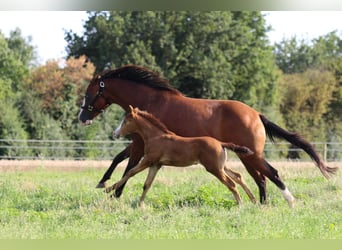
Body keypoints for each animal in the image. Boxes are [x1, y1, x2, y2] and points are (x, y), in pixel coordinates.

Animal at [105, 106, 255, 206]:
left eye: (126, 121)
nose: (115, 133)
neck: (155, 136)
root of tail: (220, 143)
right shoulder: (156, 164)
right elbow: (147, 184)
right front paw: (140, 205)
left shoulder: (148, 160)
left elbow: (130, 172)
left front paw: (108, 188)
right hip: (222, 166)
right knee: (238, 176)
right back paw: (253, 200)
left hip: (214, 168)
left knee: (231, 183)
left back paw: (240, 204)